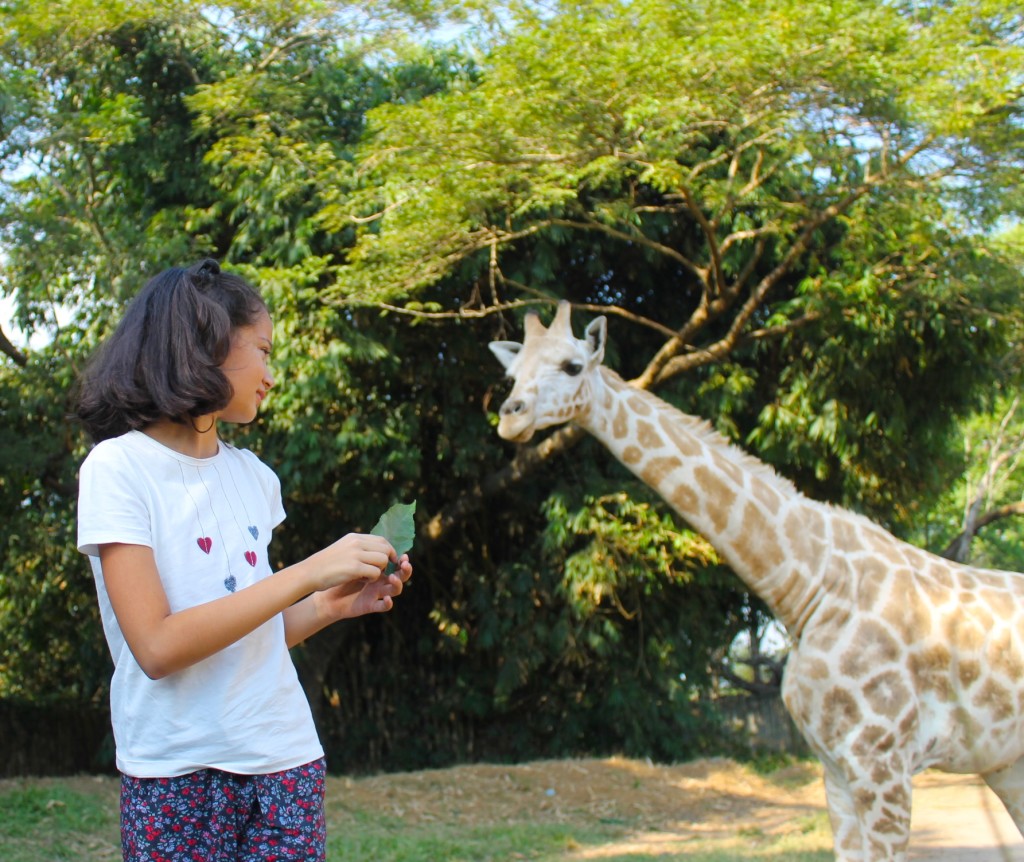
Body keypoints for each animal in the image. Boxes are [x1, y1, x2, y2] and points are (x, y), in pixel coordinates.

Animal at [488, 301, 1024, 861]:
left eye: (573, 366)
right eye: (511, 374)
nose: (511, 417)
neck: (811, 586)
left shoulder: (883, 764)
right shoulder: (836, 768)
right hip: (1006, 763)